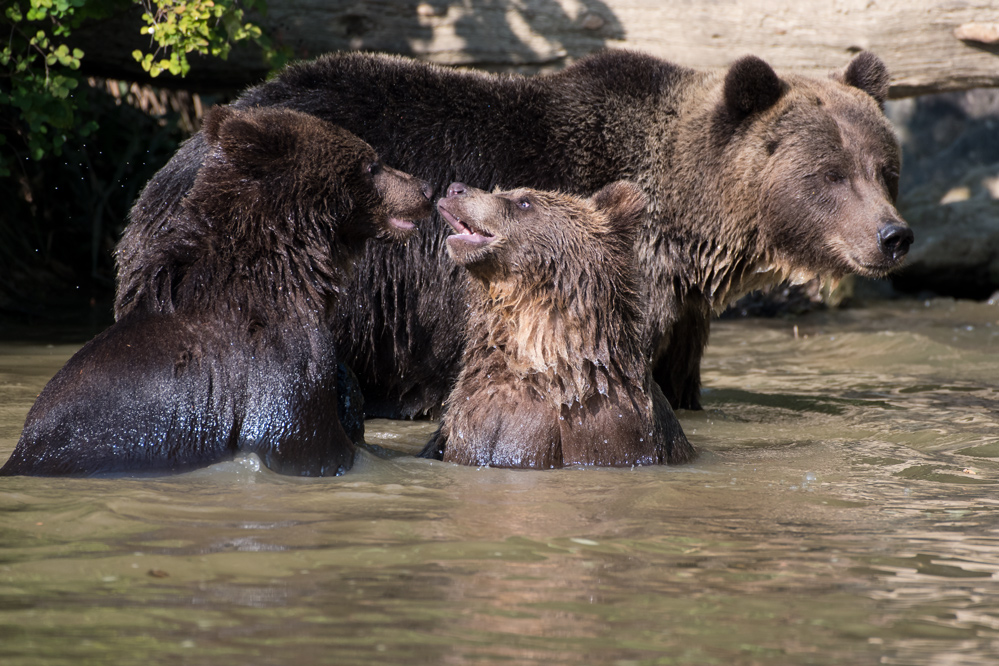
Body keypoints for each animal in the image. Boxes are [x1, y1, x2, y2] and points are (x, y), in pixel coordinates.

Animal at [113, 49, 912, 418]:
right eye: (829, 174)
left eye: (884, 166)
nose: (892, 236)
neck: (690, 228)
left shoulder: (682, 307)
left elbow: (680, 377)